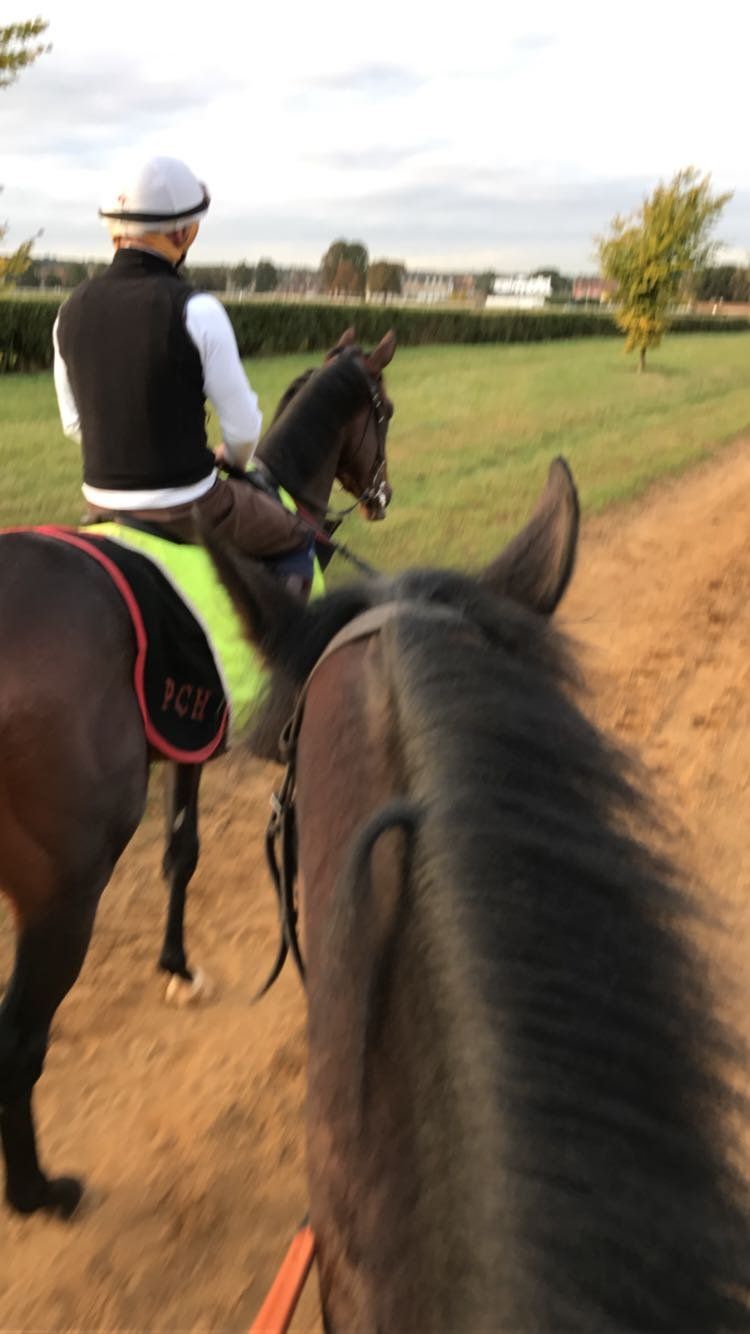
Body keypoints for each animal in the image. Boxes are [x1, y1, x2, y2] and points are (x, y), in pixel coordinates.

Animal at [0, 327, 396, 1218]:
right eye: (385, 410)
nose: (383, 495)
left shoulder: (187, 737)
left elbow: (181, 850)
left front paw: (176, 966)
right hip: (62, 891)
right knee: (19, 1035)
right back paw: (37, 1189)